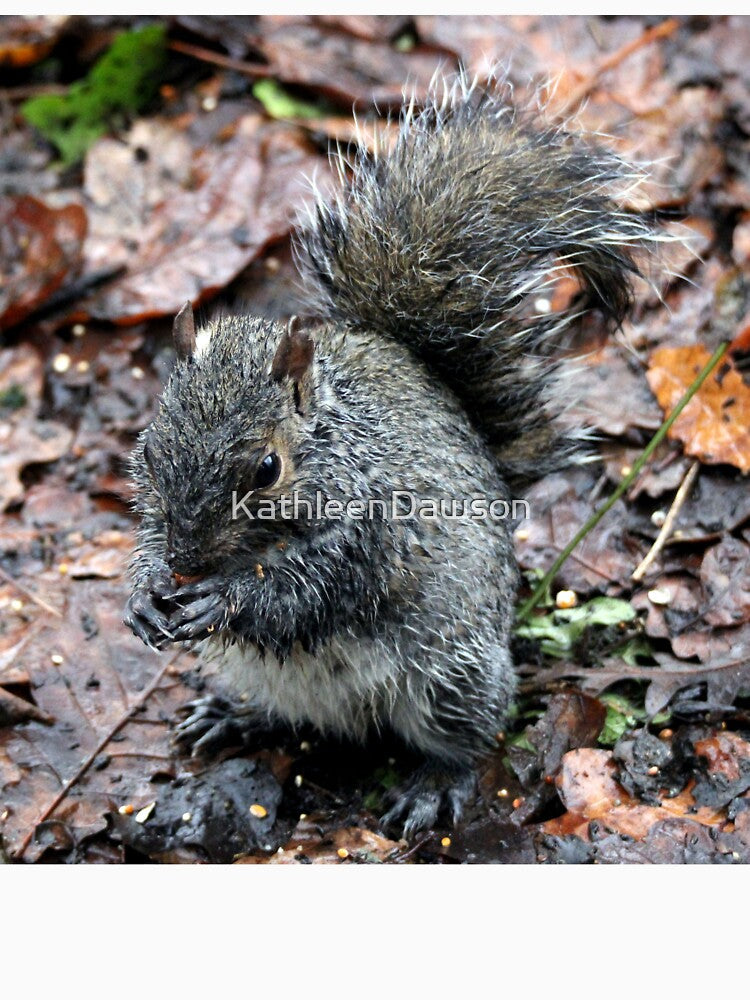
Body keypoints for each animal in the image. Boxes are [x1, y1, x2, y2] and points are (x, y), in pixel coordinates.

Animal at [124, 78, 655, 837]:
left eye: (267, 470)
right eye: (149, 444)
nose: (185, 563)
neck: (340, 446)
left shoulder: (371, 537)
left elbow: (301, 596)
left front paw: (225, 599)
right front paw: (143, 593)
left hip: (451, 676)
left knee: (470, 737)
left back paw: (434, 782)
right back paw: (232, 714)